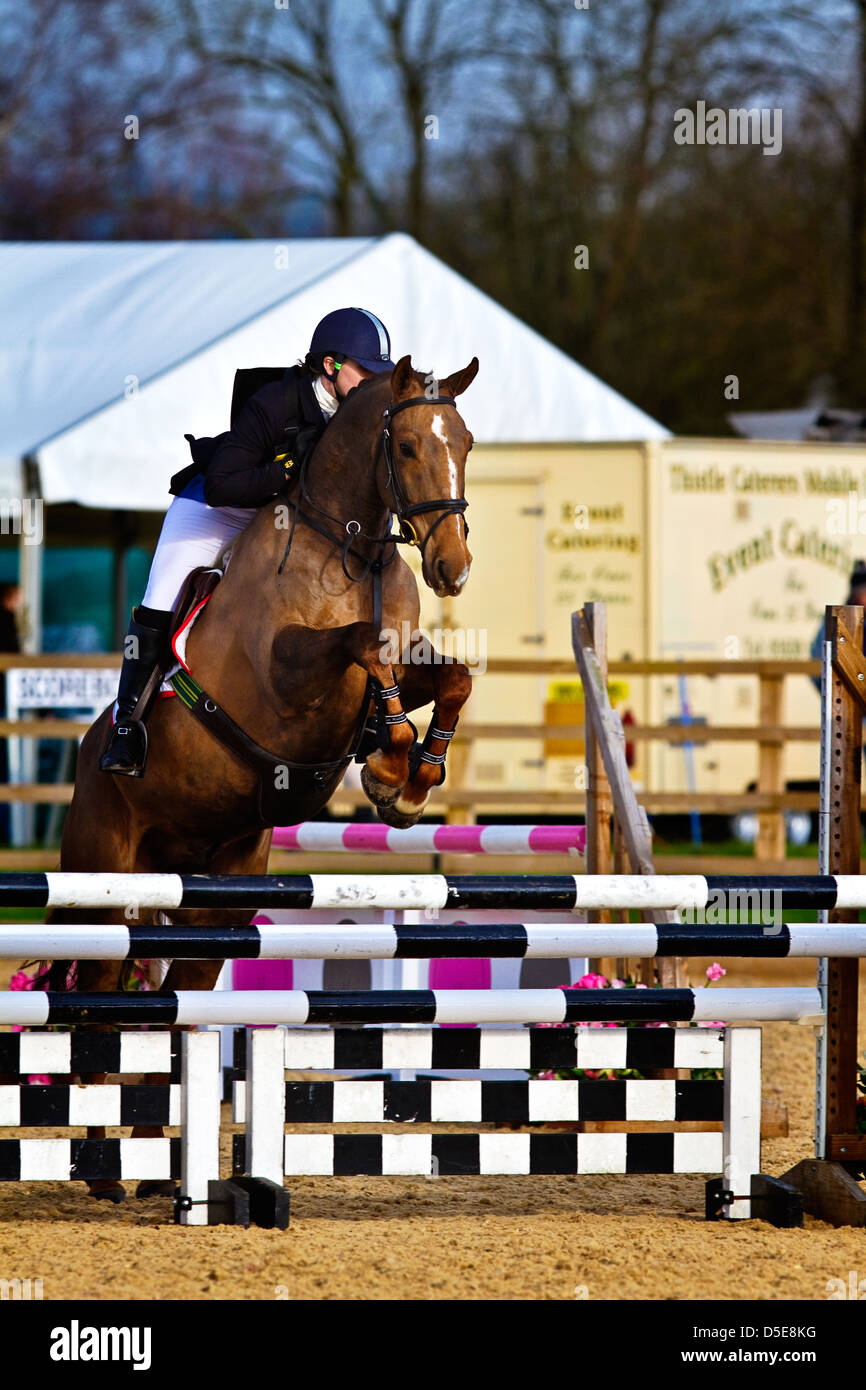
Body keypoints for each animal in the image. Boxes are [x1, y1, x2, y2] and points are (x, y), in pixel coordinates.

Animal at [47, 354, 478, 1201]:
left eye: (468, 444)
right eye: (409, 446)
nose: (453, 568)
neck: (351, 546)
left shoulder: (405, 660)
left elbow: (449, 675)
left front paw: (412, 774)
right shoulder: (285, 676)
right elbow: (360, 644)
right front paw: (389, 757)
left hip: (213, 894)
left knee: (169, 1000)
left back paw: (154, 1168)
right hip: (108, 880)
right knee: (97, 999)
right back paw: (104, 1166)